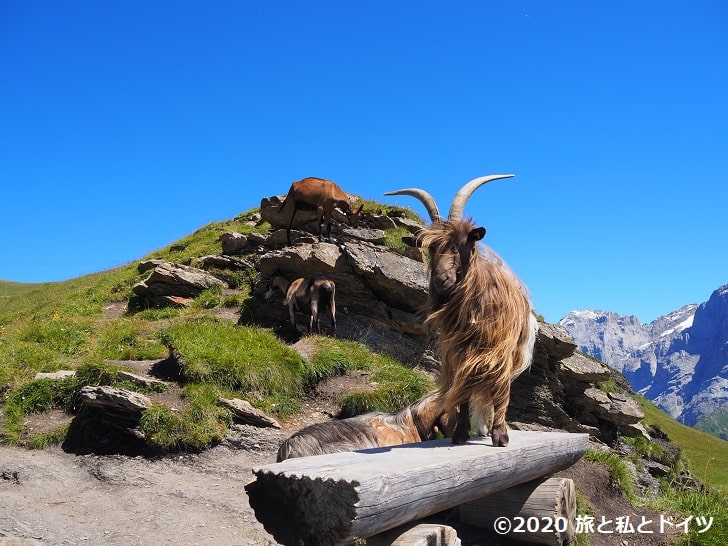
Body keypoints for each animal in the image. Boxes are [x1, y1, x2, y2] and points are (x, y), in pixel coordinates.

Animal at [384, 174, 536, 446]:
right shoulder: (459, 353)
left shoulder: (500, 350)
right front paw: (461, 433)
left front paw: (500, 435)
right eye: (431, 247)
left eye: (464, 243)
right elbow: (463, 392)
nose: (441, 280)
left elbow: (500, 390)